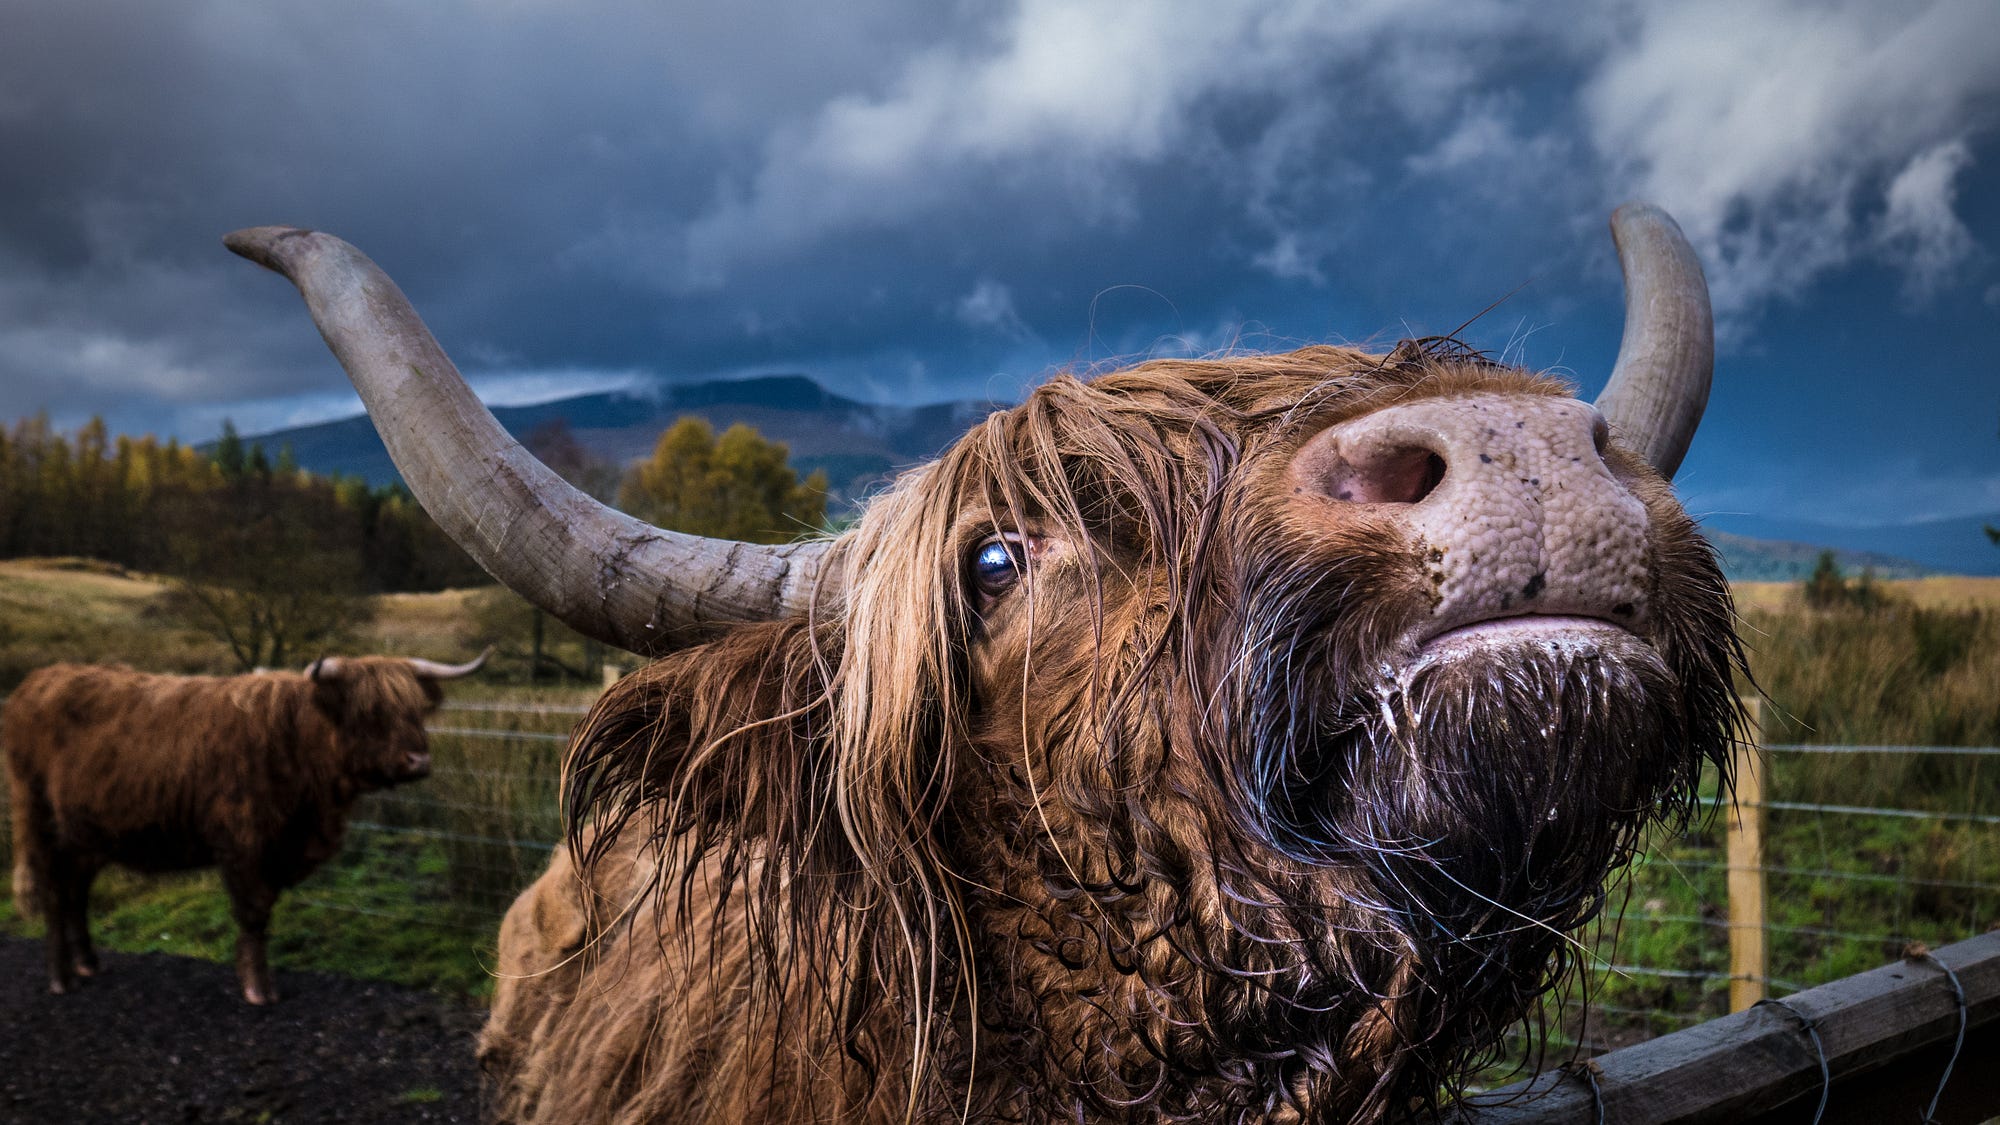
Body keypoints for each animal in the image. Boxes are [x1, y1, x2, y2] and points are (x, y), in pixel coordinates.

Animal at [3, 648, 486, 996]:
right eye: (370, 712)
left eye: (416, 711)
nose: (418, 760)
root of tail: (34, 683)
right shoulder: (242, 842)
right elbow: (253, 912)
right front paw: (258, 989)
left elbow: (263, 913)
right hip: (42, 821)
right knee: (53, 892)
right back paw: (61, 979)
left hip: (88, 836)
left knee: (74, 892)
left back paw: (88, 963)